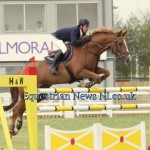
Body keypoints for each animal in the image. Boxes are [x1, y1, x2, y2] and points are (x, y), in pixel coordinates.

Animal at [2, 27, 131, 136]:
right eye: (120, 43)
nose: (128, 59)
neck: (89, 50)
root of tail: (21, 71)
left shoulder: (93, 69)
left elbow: (106, 73)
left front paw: (90, 81)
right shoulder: (79, 72)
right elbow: (96, 77)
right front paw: (86, 83)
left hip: (42, 89)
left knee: (23, 107)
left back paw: (18, 126)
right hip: (26, 92)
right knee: (16, 109)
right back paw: (12, 130)